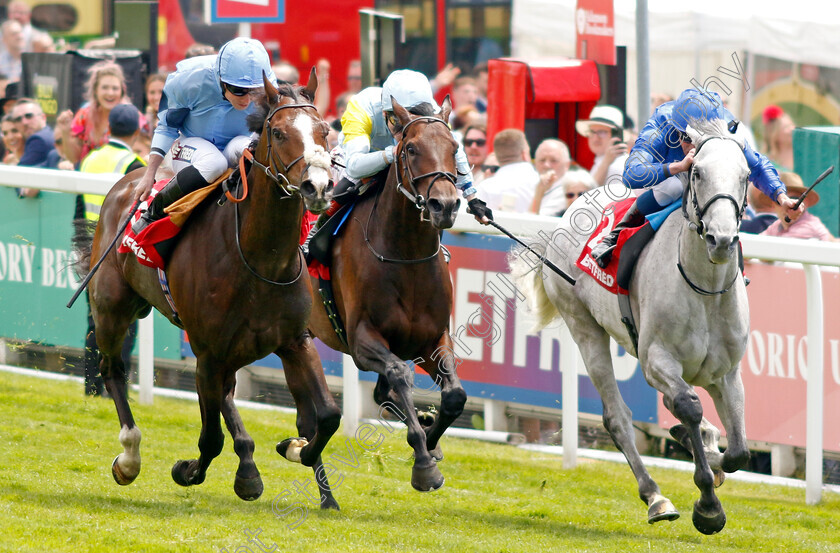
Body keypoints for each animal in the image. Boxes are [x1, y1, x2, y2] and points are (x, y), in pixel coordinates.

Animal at [77, 73, 342, 508]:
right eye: (279, 132)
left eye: (325, 131)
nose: (317, 187)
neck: (259, 259)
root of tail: (128, 181)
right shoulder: (206, 352)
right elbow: (210, 438)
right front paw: (188, 470)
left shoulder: (295, 341)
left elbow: (327, 416)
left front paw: (299, 453)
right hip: (112, 308)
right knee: (112, 369)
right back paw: (130, 456)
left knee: (228, 393)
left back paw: (249, 466)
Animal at [286, 97, 466, 490]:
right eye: (410, 148)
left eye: (454, 147)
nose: (445, 206)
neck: (406, 256)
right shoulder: (362, 341)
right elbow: (399, 374)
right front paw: (423, 461)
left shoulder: (433, 339)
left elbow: (455, 395)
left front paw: (430, 439)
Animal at [512, 118, 756, 532]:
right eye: (697, 172)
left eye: (745, 176)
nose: (721, 240)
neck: (704, 289)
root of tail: (573, 204)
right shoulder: (656, 359)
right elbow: (688, 406)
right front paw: (708, 505)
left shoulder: (726, 373)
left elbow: (738, 450)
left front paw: (706, 449)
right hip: (584, 327)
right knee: (618, 417)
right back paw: (655, 496)